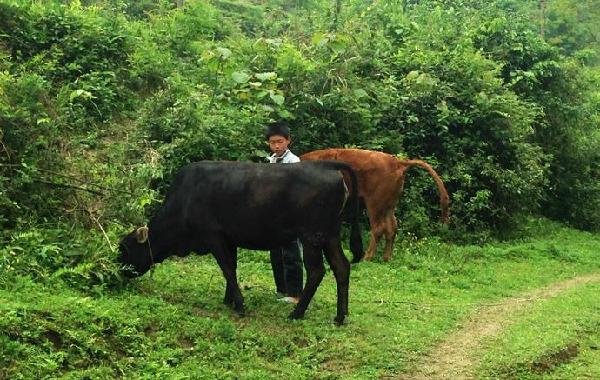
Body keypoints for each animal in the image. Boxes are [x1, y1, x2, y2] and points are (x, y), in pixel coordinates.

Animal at [117, 160, 360, 324]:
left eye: (124, 250)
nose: (118, 273)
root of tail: (326, 165)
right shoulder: (229, 239)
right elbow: (231, 268)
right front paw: (229, 301)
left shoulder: (213, 236)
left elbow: (226, 268)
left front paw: (240, 305)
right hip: (330, 234)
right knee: (341, 267)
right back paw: (340, 316)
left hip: (311, 236)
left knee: (317, 271)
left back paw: (297, 313)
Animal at [302, 148, 448, 262]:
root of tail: (397, 162)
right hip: (388, 206)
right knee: (392, 227)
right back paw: (386, 258)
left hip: (374, 204)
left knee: (378, 228)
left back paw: (367, 257)